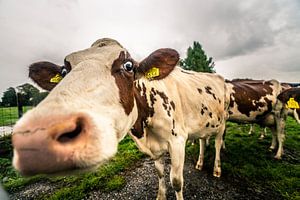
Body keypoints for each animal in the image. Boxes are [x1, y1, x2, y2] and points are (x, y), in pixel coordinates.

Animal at [11, 38, 227, 200]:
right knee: (203, 140)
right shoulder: (155, 147)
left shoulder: (177, 140)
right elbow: (159, 173)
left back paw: (217, 169)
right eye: (64, 71)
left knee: (217, 143)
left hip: (223, 122)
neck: (144, 130)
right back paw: (200, 163)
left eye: (128, 65)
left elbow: (176, 181)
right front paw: (160, 196)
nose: (40, 133)